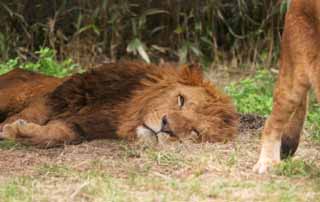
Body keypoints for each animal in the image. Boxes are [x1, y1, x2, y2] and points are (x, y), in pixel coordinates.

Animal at [0, 61, 239, 147]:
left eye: (195, 132)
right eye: (181, 100)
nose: (166, 127)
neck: (122, 111)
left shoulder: (81, 126)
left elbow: (58, 134)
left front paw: (18, 131)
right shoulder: (60, 96)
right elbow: (35, 113)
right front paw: (9, 127)